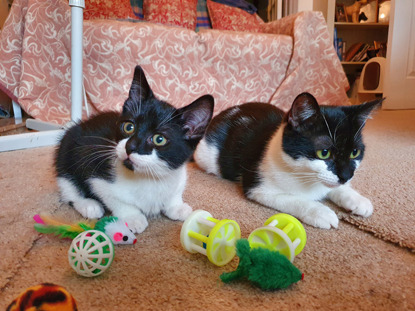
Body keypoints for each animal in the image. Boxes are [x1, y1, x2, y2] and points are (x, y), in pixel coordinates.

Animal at [55, 66, 214, 234]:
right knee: (68, 186)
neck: (149, 176)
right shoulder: (96, 174)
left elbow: (175, 191)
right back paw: (88, 205)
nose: (129, 147)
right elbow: (114, 198)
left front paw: (176, 206)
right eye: (129, 127)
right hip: (66, 150)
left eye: (159, 139)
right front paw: (132, 217)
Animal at [195, 92, 384, 229]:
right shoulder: (257, 186)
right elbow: (292, 199)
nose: (346, 175)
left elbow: (334, 188)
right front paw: (320, 212)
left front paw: (356, 199)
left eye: (354, 152)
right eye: (324, 153)